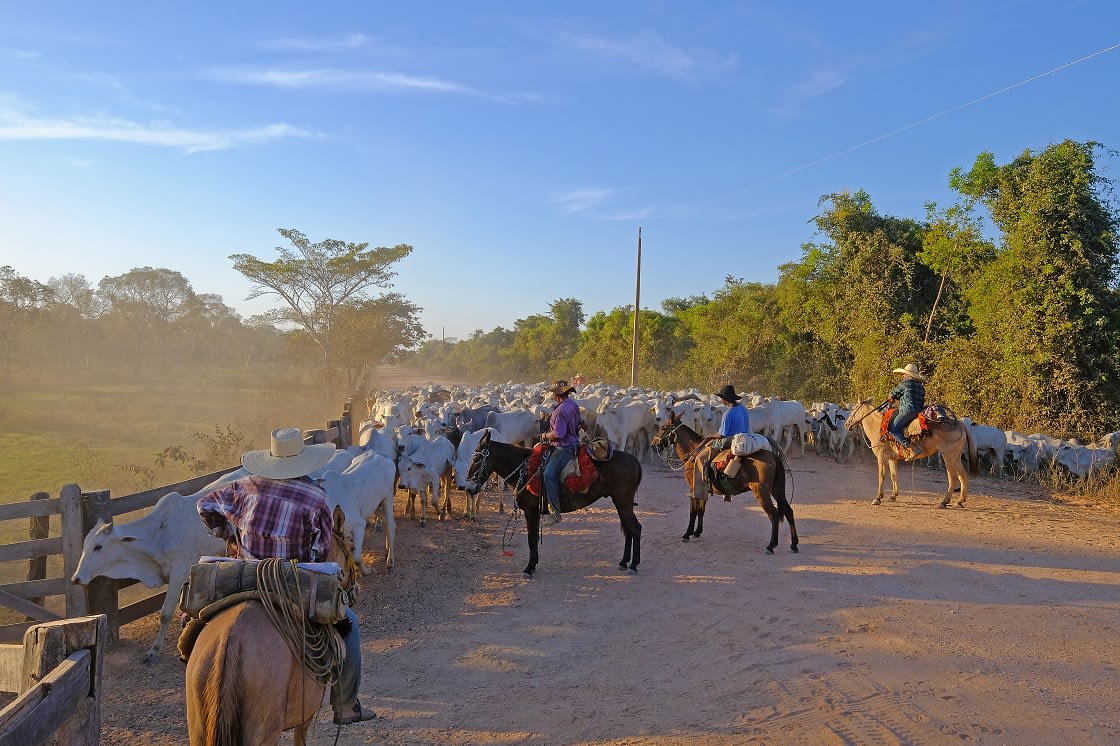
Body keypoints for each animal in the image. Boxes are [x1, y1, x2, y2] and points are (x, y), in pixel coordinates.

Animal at [69, 468, 243, 658]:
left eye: (98, 546)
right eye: (85, 545)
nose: (76, 578)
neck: (158, 535)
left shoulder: (178, 573)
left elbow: (165, 613)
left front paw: (154, 650)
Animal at [184, 501, 358, 739]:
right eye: (352, 547)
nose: (354, 591)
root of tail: (230, 643)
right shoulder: (305, 715)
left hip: (200, 728)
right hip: (263, 731)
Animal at [461, 430, 640, 573]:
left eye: (476, 459)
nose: (468, 487)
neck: (525, 469)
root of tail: (635, 461)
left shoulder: (531, 511)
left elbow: (531, 538)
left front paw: (529, 568)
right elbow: (533, 538)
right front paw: (533, 564)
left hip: (623, 502)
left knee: (635, 528)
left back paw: (633, 565)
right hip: (620, 503)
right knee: (629, 530)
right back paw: (624, 562)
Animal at [654, 409, 801, 555]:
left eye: (663, 428)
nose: (653, 445)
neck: (694, 454)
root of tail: (774, 457)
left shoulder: (693, 488)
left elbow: (693, 511)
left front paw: (687, 534)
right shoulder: (702, 489)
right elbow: (701, 510)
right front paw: (697, 532)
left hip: (762, 492)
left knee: (774, 514)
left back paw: (771, 545)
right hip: (777, 490)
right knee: (788, 511)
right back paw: (794, 544)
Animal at [846, 394, 981, 506]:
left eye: (853, 410)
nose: (847, 425)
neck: (878, 427)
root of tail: (959, 424)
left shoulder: (881, 457)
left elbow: (882, 475)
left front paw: (878, 498)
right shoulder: (892, 458)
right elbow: (894, 474)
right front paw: (893, 495)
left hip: (948, 456)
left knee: (952, 478)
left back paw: (944, 502)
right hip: (956, 457)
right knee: (962, 475)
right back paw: (959, 501)